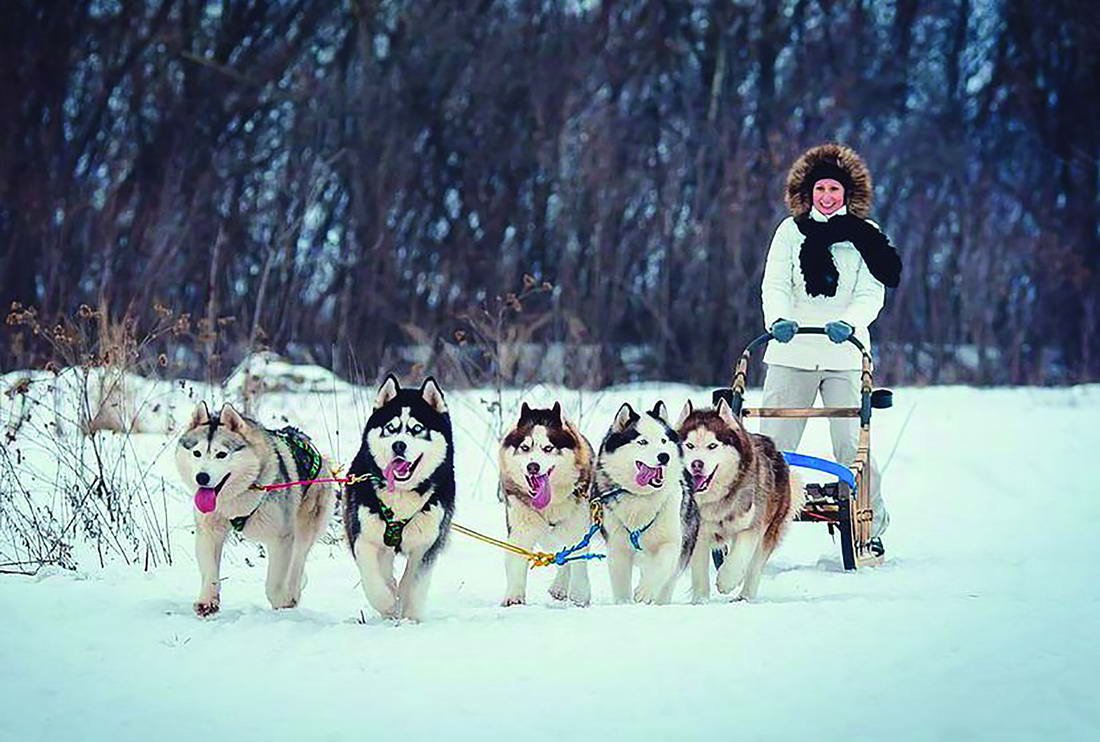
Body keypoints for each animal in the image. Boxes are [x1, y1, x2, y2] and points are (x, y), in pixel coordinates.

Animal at [175, 402, 336, 617]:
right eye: (197, 453)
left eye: (221, 454)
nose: (201, 477)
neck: (236, 501)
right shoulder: (209, 531)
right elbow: (210, 571)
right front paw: (207, 601)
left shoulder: (281, 538)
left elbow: (275, 583)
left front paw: (282, 603)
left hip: (305, 525)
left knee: (298, 560)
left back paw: (293, 590)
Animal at [344, 375, 455, 622]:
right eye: (391, 429)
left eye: (417, 429)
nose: (399, 445)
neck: (402, 495)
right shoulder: (364, 536)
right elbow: (372, 580)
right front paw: (387, 604)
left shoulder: (427, 544)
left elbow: (415, 583)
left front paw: (411, 617)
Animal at [499, 402, 595, 607]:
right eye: (525, 447)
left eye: (548, 448)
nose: (533, 467)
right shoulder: (520, 529)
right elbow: (516, 560)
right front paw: (514, 597)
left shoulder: (578, 528)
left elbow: (577, 560)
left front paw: (579, 596)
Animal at [592, 401, 699, 605]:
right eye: (642, 442)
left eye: (663, 441)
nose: (664, 456)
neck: (640, 498)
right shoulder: (618, 550)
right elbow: (621, 586)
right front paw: (624, 603)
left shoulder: (671, 543)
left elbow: (661, 566)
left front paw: (646, 591)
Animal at [675, 398, 804, 602]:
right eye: (689, 446)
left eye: (712, 446)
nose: (697, 464)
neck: (716, 500)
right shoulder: (698, 533)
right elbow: (699, 572)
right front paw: (700, 600)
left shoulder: (751, 527)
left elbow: (739, 557)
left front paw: (726, 581)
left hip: (770, 530)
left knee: (755, 566)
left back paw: (744, 596)